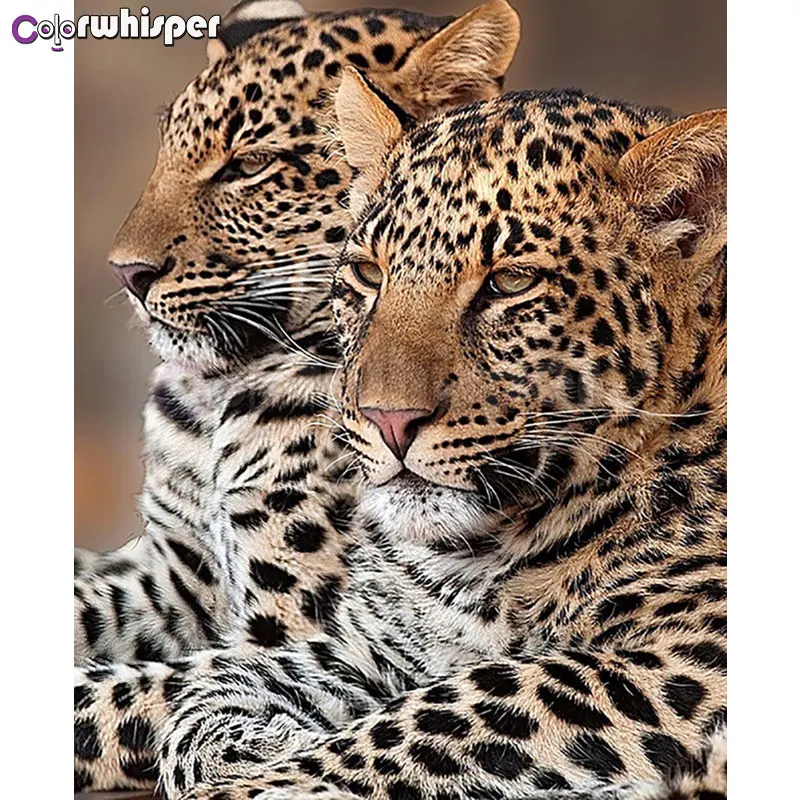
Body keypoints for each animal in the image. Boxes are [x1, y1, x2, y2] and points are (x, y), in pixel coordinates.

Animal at [74, 0, 522, 792]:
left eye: (249, 166)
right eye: (166, 151)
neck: (213, 401)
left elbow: (123, 691)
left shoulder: (303, 628)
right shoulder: (170, 575)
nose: (125, 272)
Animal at [93, 77, 726, 799]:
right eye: (371, 273)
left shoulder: (687, 652)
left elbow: (431, 714)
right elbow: (214, 682)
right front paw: (237, 738)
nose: (386, 419)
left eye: (510, 282)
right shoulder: (371, 638)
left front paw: (257, 777)